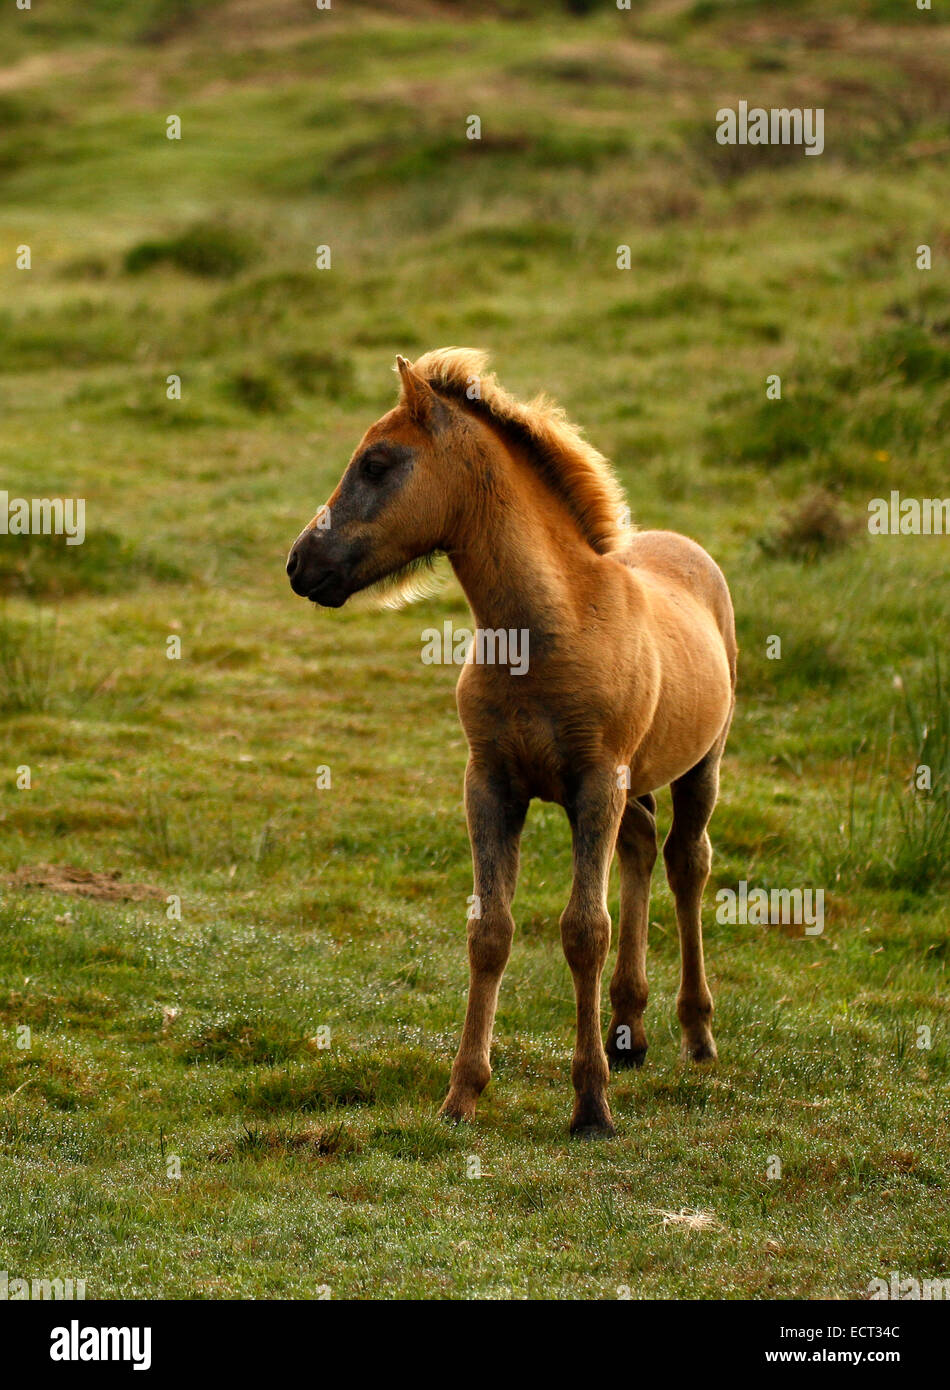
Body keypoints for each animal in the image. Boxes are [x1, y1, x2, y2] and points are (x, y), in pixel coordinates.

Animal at [287, 348, 737, 1137]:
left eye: (376, 461)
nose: (299, 563)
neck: (546, 628)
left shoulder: (594, 784)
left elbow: (584, 931)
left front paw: (590, 1106)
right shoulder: (491, 785)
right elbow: (490, 932)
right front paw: (462, 1094)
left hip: (697, 766)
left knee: (687, 864)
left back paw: (697, 1033)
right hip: (634, 783)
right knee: (642, 848)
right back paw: (629, 1034)